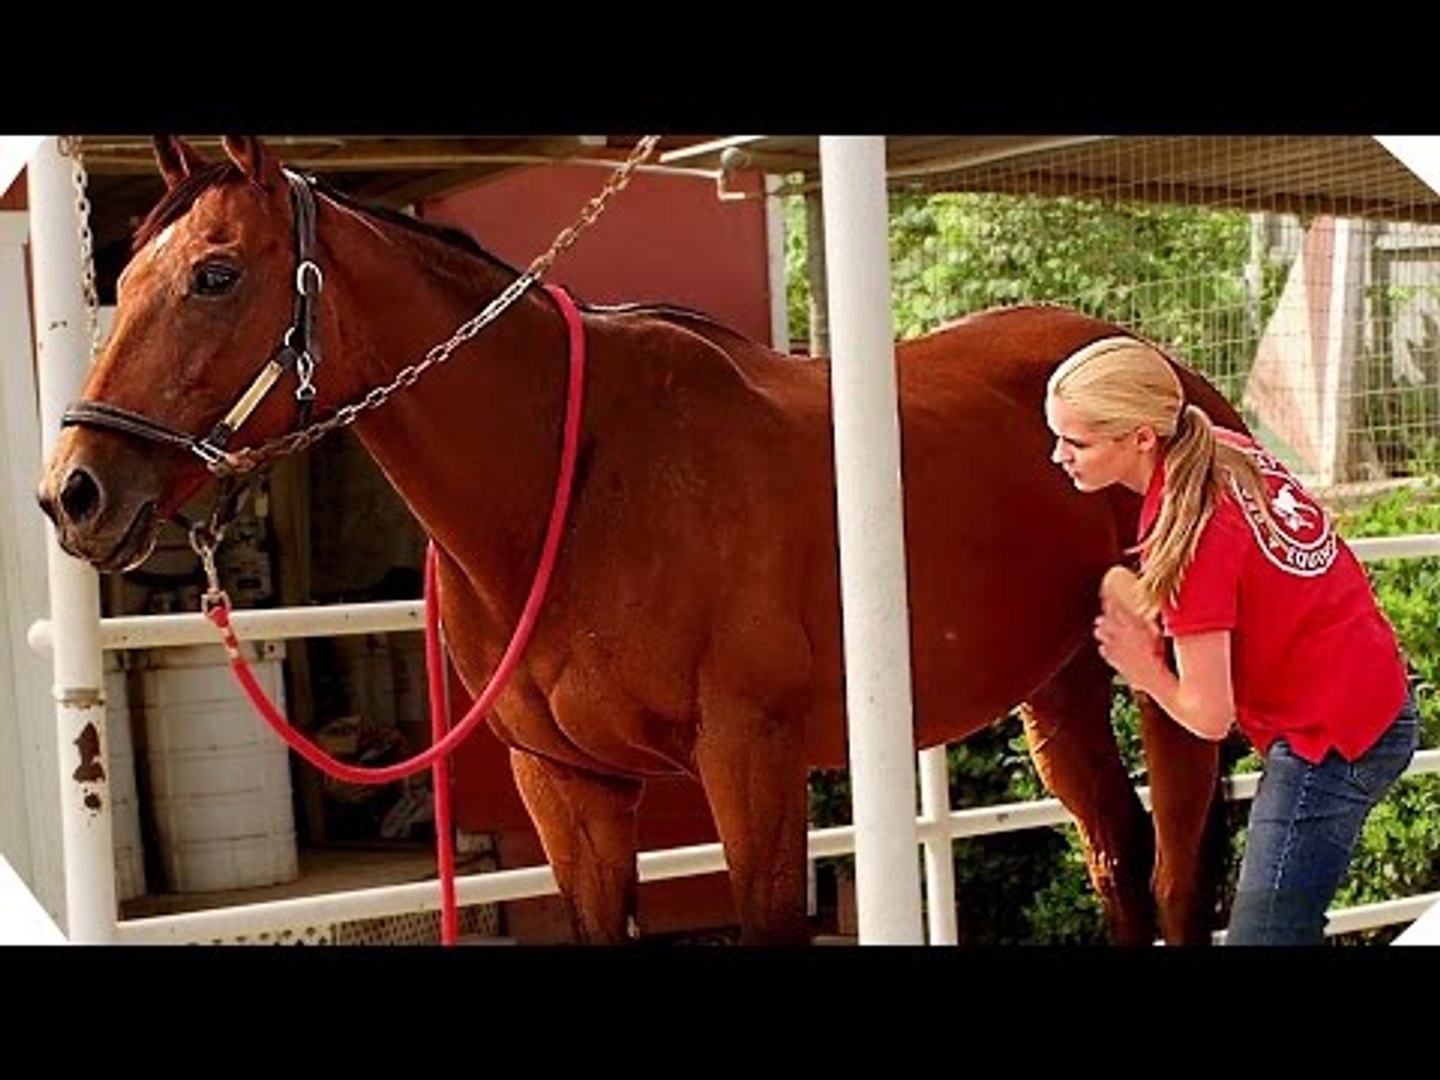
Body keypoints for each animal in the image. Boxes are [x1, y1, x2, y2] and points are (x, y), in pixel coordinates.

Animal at [37, 135, 1241, 945]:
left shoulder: (750, 762)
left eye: (215, 274)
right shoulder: (566, 785)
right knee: (1116, 855)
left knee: (1175, 873)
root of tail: (1168, 371)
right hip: (1060, 688)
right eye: (121, 279)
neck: (575, 485)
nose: (74, 493)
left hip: (1168, 695)